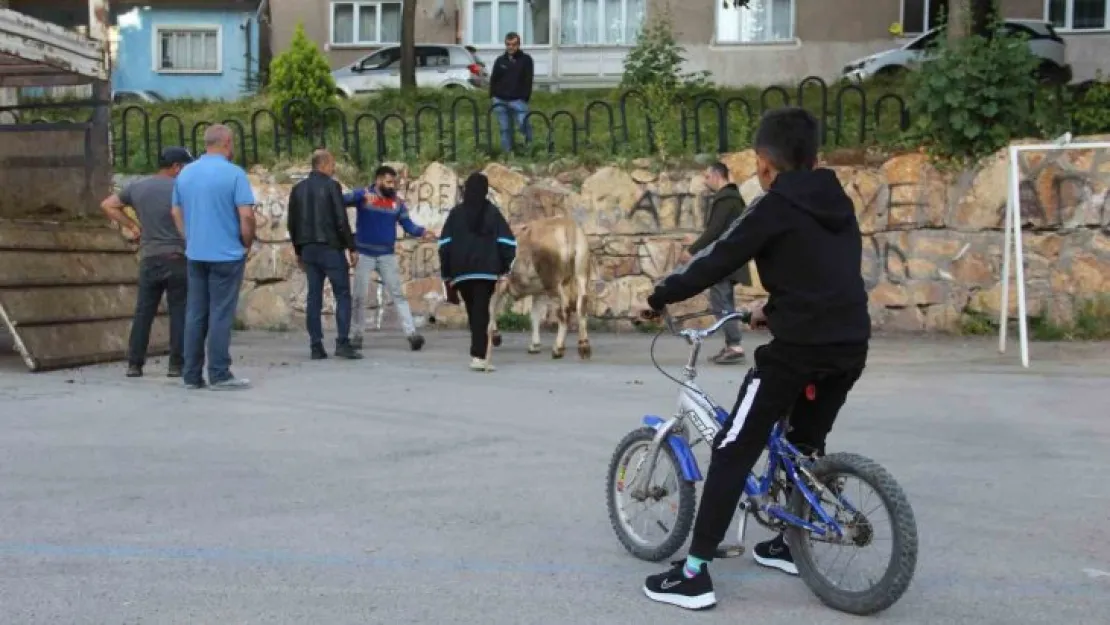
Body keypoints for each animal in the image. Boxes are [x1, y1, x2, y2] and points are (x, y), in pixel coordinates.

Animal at [486, 217, 590, 359]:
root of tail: (566, 225)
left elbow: (491, 309)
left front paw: (494, 336)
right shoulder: (539, 291)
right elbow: (534, 315)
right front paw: (535, 345)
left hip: (553, 284)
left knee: (564, 312)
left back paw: (558, 349)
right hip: (581, 275)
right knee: (581, 307)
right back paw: (584, 347)